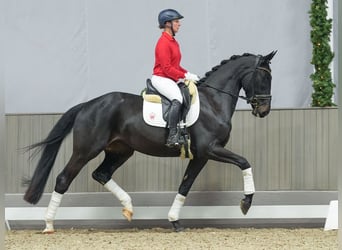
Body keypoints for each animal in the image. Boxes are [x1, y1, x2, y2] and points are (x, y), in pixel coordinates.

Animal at [23, 50, 276, 232]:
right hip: (86, 150)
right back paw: (48, 225)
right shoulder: (211, 149)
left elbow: (185, 185)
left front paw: (174, 220)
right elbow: (244, 162)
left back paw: (128, 207)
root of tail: (88, 104)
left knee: (101, 174)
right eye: (264, 77)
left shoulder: (201, 155)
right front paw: (246, 203)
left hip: (121, 151)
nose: (264, 110)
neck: (213, 102)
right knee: (63, 179)